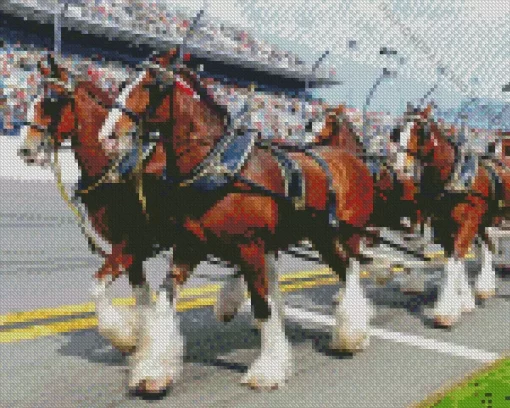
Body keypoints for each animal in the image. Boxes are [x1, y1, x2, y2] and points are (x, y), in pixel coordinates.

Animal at [102, 56, 374, 392]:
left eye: (152, 86)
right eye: (122, 83)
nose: (107, 136)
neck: (216, 164)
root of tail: (353, 159)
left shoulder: (250, 246)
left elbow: (262, 305)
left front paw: (268, 369)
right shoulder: (190, 245)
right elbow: (164, 300)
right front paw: (153, 371)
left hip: (340, 235)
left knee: (350, 271)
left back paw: (353, 334)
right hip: (321, 236)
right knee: (347, 270)